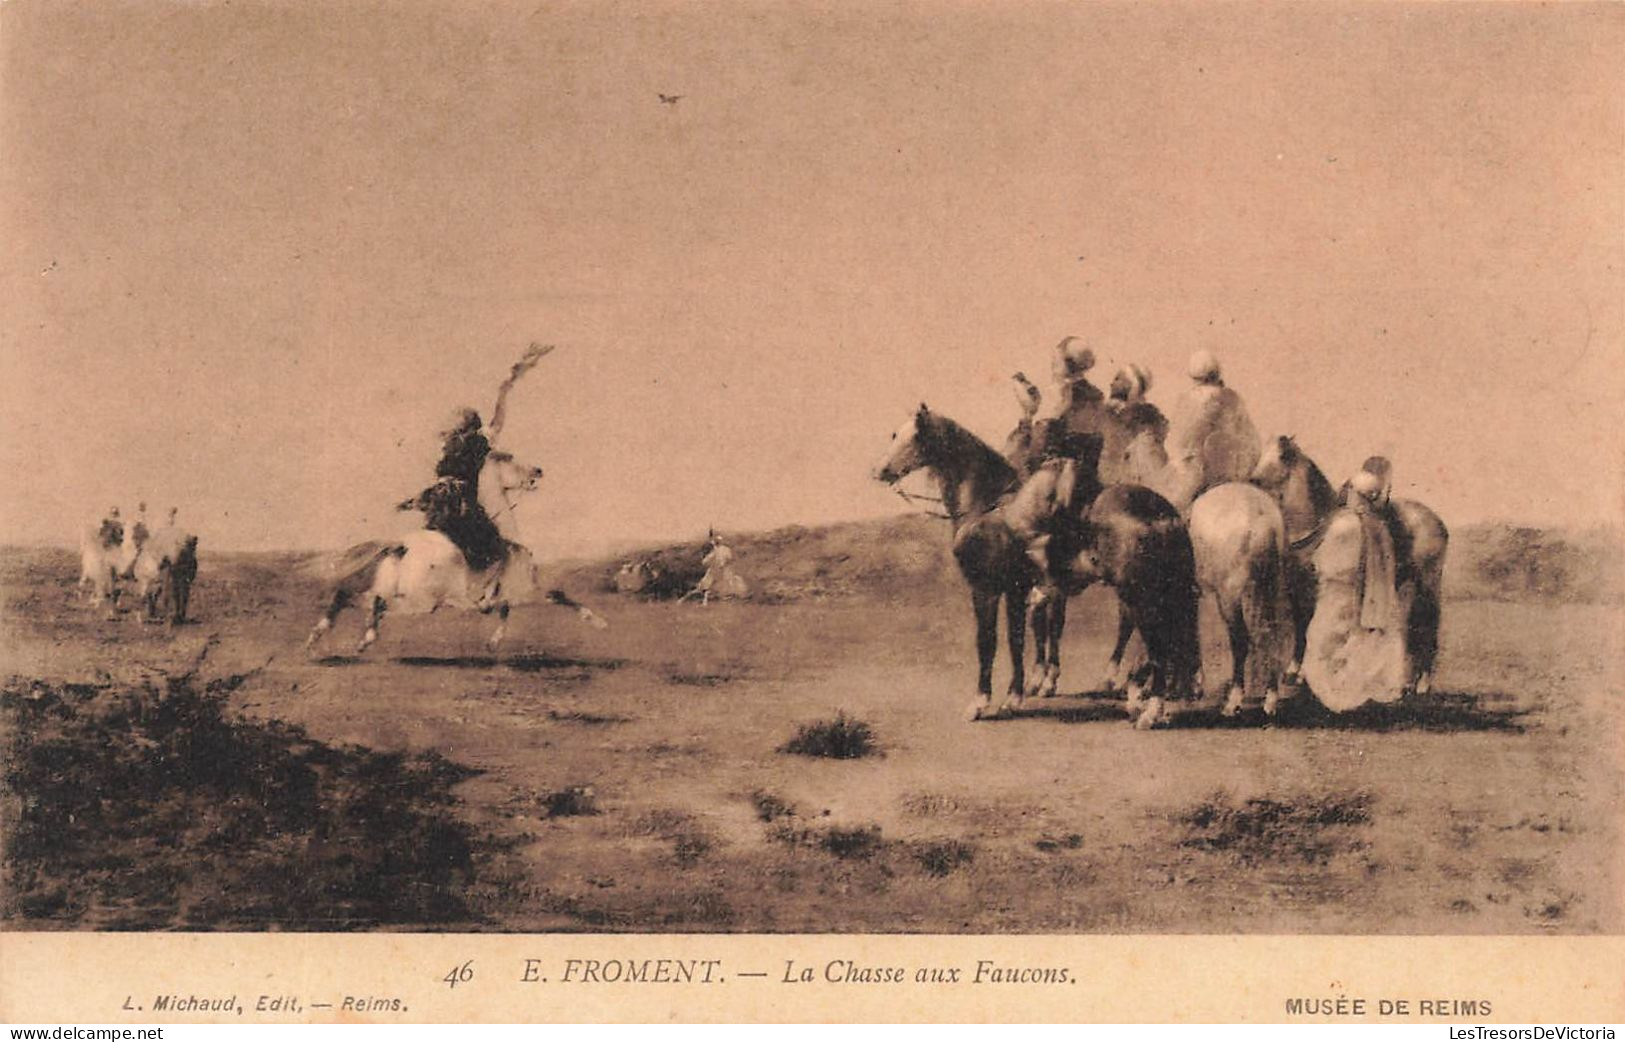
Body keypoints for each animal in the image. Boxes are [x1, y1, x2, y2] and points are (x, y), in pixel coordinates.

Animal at [305, 448, 604, 656]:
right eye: (509, 459)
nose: (538, 471)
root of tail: (400, 546)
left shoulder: (502, 595)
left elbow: (503, 610)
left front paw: (493, 644)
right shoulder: (525, 589)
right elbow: (556, 595)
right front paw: (597, 621)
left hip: (395, 590)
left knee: (350, 597)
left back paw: (318, 638)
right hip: (420, 601)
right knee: (373, 604)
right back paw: (362, 639)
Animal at [1248, 435, 1456, 695]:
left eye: (1282, 455)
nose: (1253, 480)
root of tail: (1435, 521)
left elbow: (1316, 627)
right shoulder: (1297, 588)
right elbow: (1301, 625)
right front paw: (1294, 672)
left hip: (1428, 583)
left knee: (1429, 625)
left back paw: (1422, 684)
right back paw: (1408, 682)